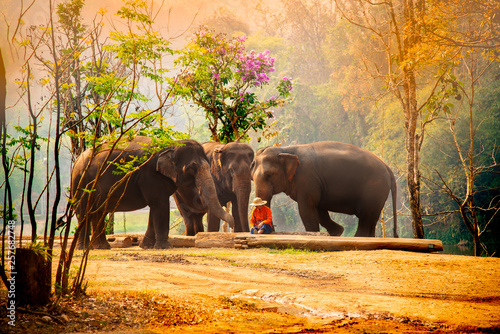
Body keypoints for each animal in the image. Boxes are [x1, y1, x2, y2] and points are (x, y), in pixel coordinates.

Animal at [72, 135, 234, 248]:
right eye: (192, 168)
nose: (232, 224)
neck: (171, 145)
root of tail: (77, 160)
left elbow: (155, 207)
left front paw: (146, 246)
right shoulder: (151, 175)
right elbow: (160, 205)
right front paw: (165, 247)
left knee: (98, 212)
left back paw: (102, 247)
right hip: (81, 182)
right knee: (83, 212)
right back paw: (83, 248)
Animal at [250, 141, 398, 237]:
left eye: (269, 175)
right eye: (252, 177)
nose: (271, 230)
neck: (285, 150)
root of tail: (387, 167)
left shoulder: (307, 179)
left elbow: (306, 210)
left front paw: (315, 233)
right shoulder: (316, 183)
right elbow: (319, 209)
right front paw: (337, 232)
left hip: (374, 189)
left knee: (365, 217)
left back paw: (359, 237)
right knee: (371, 218)